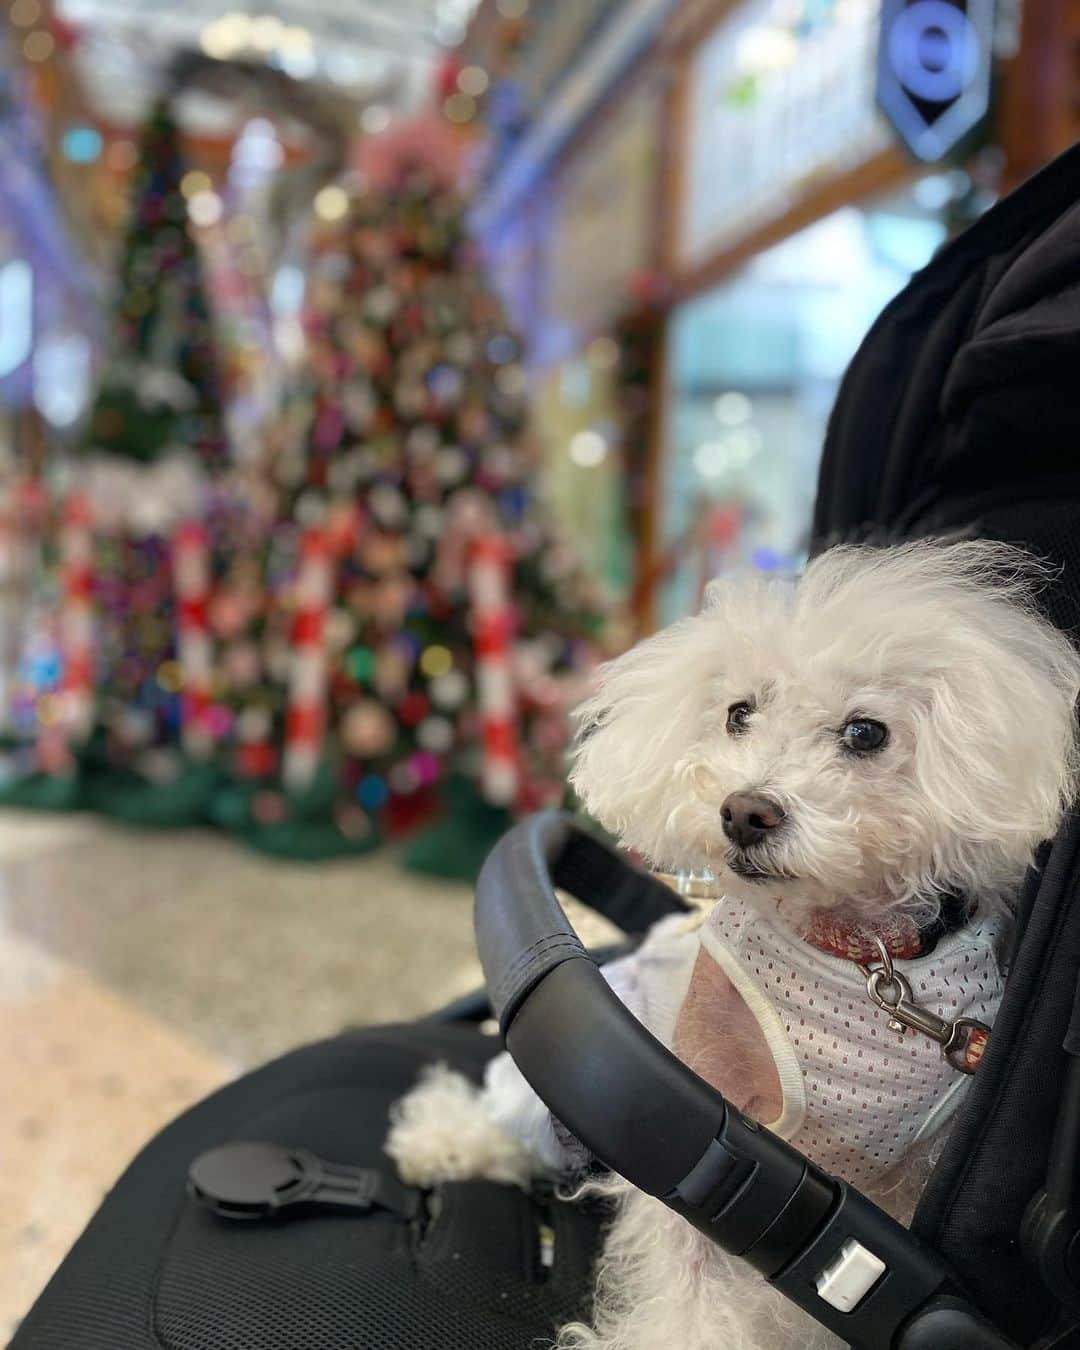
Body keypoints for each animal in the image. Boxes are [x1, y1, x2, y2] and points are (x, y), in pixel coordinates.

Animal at [383, 542, 1074, 1350]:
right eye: (738, 714)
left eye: (866, 732)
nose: (744, 811)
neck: (858, 960)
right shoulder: (712, 1152)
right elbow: (689, 1303)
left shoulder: (907, 1180)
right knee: (498, 1112)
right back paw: (436, 1139)